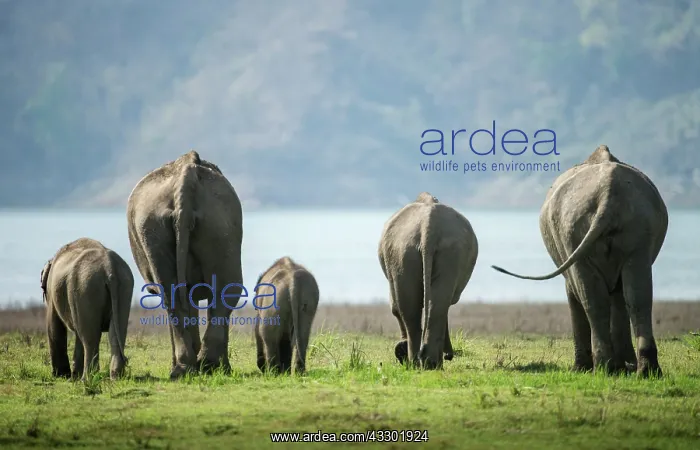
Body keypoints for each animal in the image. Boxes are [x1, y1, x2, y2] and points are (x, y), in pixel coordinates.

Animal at [39, 238, 134, 381]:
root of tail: (109, 266)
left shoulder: (52, 292)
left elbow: (54, 326)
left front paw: (62, 375)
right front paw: (72, 375)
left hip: (86, 287)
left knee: (89, 337)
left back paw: (86, 378)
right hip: (124, 286)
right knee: (115, 333)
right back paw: (115, 377)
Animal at [126, 150, 243, 380]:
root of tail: (186, 173)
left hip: (208, 221)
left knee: (178, 295)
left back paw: (192, 368)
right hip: (212, 221)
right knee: (215, 291)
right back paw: (199, 367)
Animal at [378, 192, 479, 369]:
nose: (449, 355)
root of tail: (428, 227)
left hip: (410, 252)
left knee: (414, 306)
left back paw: (421, 363)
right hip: (411, 252)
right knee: (430, 304)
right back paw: (427, 363)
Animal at [491, 145, 668, 378]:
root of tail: (608, 193)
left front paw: (586, 369)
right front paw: (625, 368)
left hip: (576, 229)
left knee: (594, 297)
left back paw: (605, 368)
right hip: (631, 226)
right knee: (637, 296)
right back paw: (643, 371)